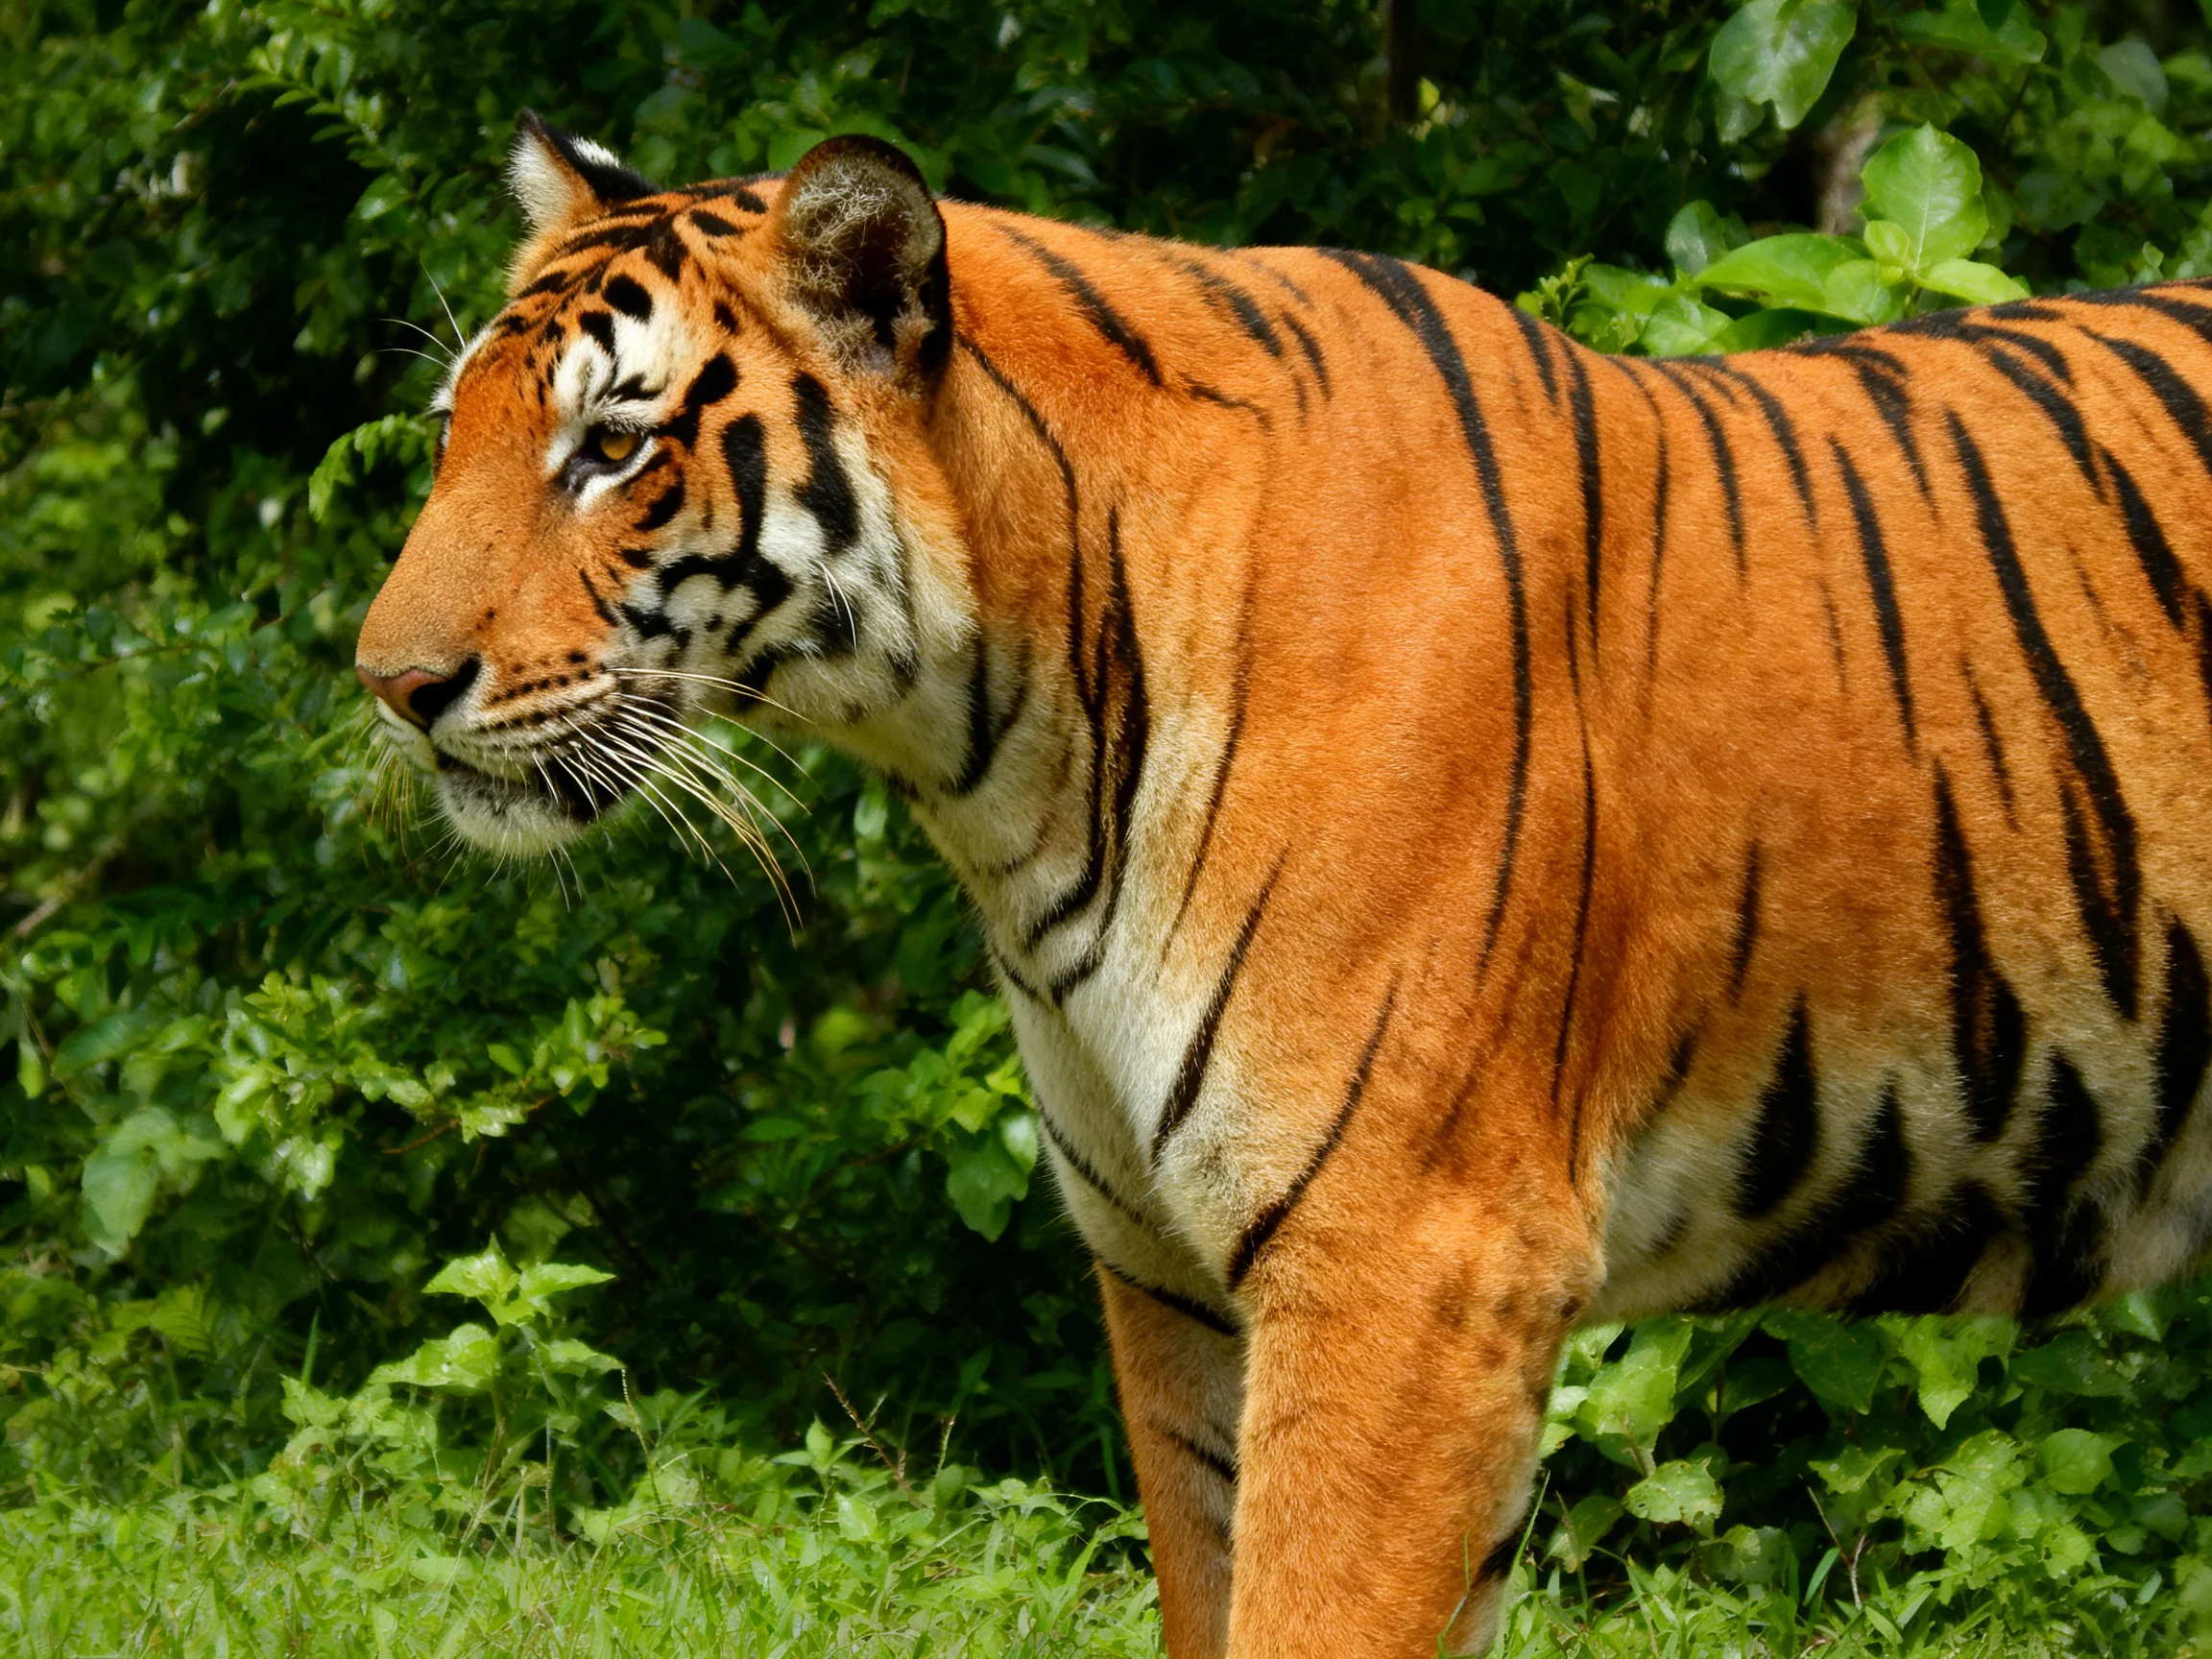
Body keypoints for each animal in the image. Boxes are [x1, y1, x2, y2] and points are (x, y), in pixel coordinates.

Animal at [355, 111, 2212, 1656]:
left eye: (612, 449)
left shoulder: (1403, 1261)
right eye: (458, 432)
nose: (389, 683)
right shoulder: (1167, 1266)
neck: (1008, 754)